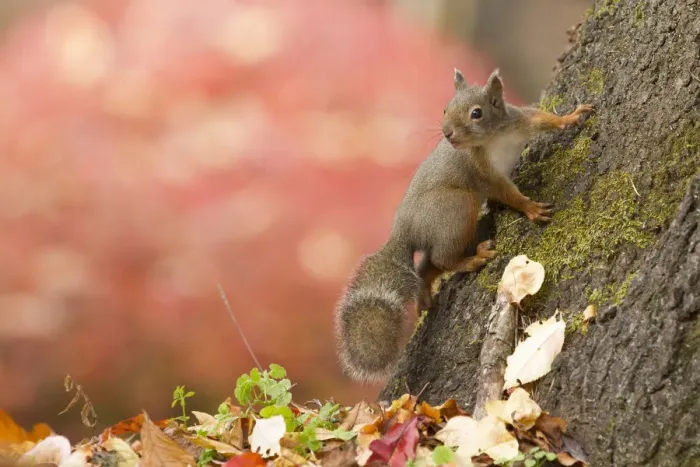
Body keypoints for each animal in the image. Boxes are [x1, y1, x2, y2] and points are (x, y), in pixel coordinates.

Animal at [334, 68, 594, 383]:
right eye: (445, 109)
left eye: (476, 113)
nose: (447, 133)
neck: (495, 136)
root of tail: (404, 230)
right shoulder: (483, 174)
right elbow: (507, 193)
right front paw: (530, 208)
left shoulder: (520, 120)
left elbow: (544, 119)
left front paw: (573, 115)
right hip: (456, 210)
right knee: (441, 258)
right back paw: (474, 259)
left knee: (425, 267)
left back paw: (424, 295)